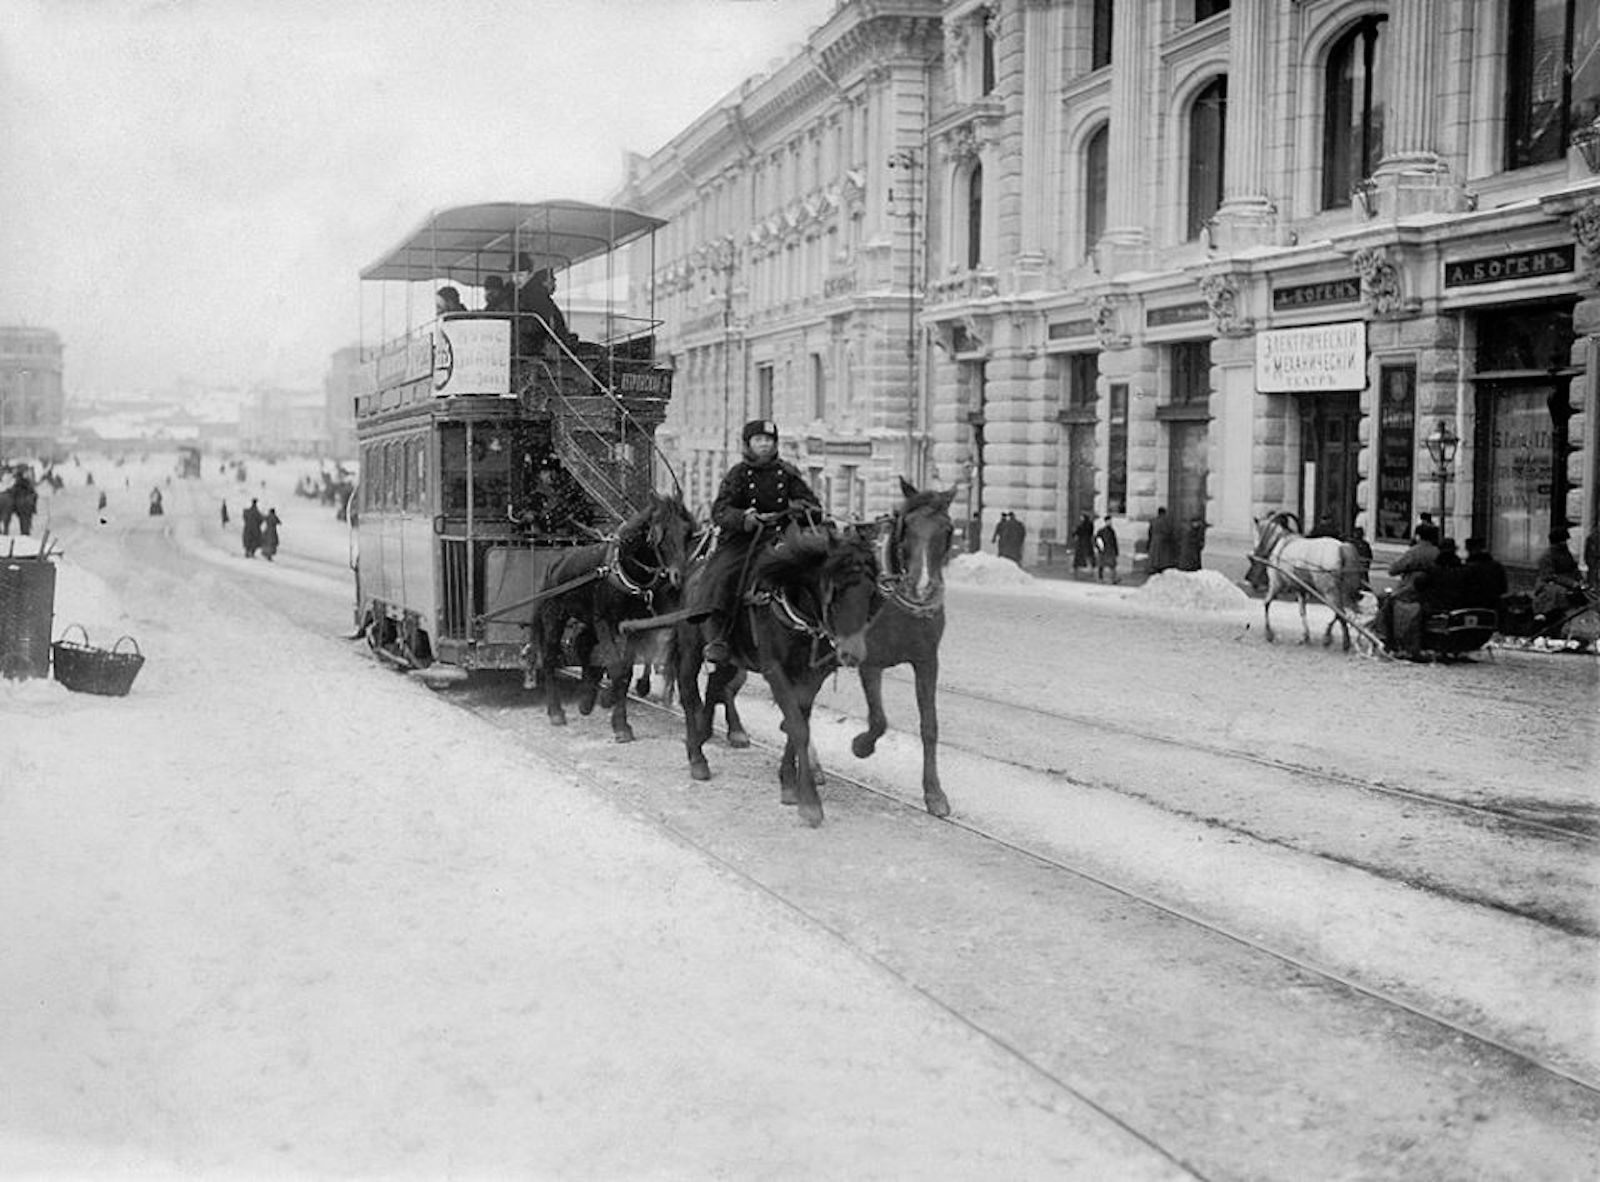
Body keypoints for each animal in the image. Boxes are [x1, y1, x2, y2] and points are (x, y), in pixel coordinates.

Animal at [531, 489, 694, 738]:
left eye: (687, 531)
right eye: (659, 532)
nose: (679, 577)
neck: (626, 570)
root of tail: (555, 562)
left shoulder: (634, 626)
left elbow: (625, 672)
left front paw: (618, 719)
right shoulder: (605, 622)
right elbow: (616, 669)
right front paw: (618, 721)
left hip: (587, 619)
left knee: (583, 644)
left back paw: (587, 699)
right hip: (555, 615)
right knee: (550, 656)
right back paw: (556, 711)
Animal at [672, 511, 883, 825]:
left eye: (870, 591)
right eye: (835, 590)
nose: (852, 652)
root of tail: (696, 568)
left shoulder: (810, 679)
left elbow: (798, 725)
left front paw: (789, 783)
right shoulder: (776, 672)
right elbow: (797, 727)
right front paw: (809, 802)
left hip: (731, 658)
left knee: (715, 687)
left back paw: (705, 732)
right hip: (691, 649)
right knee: (689, 693)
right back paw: (697, 756)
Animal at [857, 476, 953, 818]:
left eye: (947, 529)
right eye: (907, 525)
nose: (922, 587)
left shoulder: (927, 662)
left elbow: (930, 726)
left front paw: (934, 793)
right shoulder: (868, 661)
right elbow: (879, 720)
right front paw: (861, 746)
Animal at [1248, 511, 1363, 652]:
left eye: (1256, 533)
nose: (1254, 554)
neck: (1281, 543)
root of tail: (1341, 547)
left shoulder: (1276, 584)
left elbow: (1266, 603)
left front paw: (1269, 634)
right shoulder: (1300, 589)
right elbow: (1302, 611)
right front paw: (1305, 637)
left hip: (1328, 590)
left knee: (1339, 611)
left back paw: (1333, 639)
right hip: (1341, 590)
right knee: (1342, 612)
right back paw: (1338, 639)